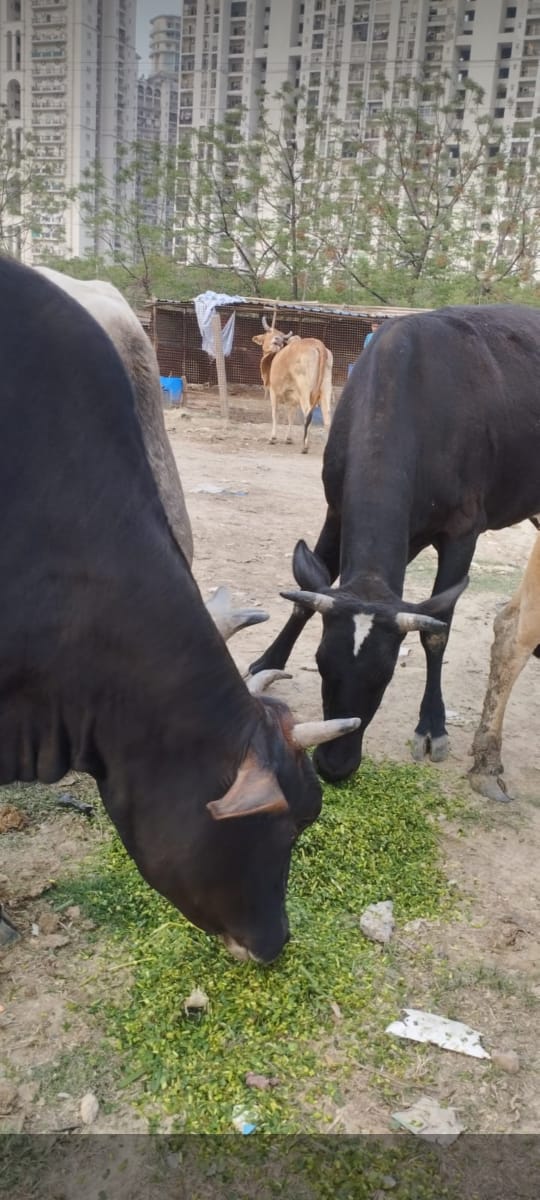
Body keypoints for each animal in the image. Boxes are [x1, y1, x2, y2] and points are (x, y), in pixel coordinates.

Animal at [252, 316, 333, 453]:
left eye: (279, 334)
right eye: (270, 332)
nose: (278, 340)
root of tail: (318, 344)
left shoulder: (273, 391)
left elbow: (275, 413)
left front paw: (273, 438)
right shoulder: (293, 397)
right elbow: (291, 416)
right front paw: (288, 438)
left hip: (304, 388)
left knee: (308, 413)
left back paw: (305, 446)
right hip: (325, 388)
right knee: (327, 416)